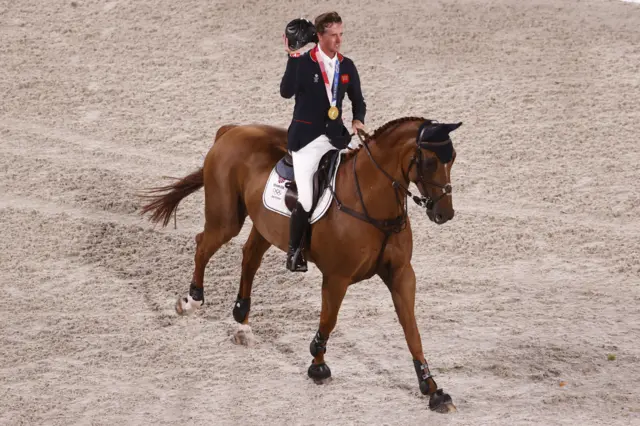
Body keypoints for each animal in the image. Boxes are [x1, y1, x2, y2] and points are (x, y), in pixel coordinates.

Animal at [139, 116, 460, 412]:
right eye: (430, 161)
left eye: (452, 158)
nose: (445, 214)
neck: (371, 201)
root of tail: (232, 130)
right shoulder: (337, 277)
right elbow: (328, 320)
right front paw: (318, 365)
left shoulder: (401, 274)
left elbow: (411, 330)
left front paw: (432, 389)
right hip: (226, 220)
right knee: (203, 245)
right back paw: (192, 301)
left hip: (265, 226)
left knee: (249, 257)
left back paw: (242, 323)